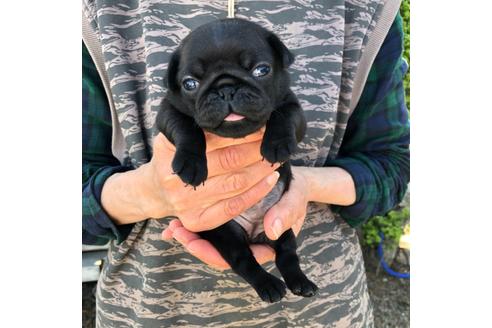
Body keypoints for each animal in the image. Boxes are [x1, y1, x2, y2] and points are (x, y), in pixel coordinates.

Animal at [158, 18, 320, 302]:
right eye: (190, 84)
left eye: (261, 70)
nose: (226, 89)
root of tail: (255, 233)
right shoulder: (167, 111)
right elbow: (186, 126)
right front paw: (191, 164)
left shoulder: (293, 107)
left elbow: (284, 116)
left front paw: (277, 145)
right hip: (226, 233)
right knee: (243, 260)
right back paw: (268, 285)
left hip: (281, 227)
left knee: (287, 254)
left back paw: (301, 282)